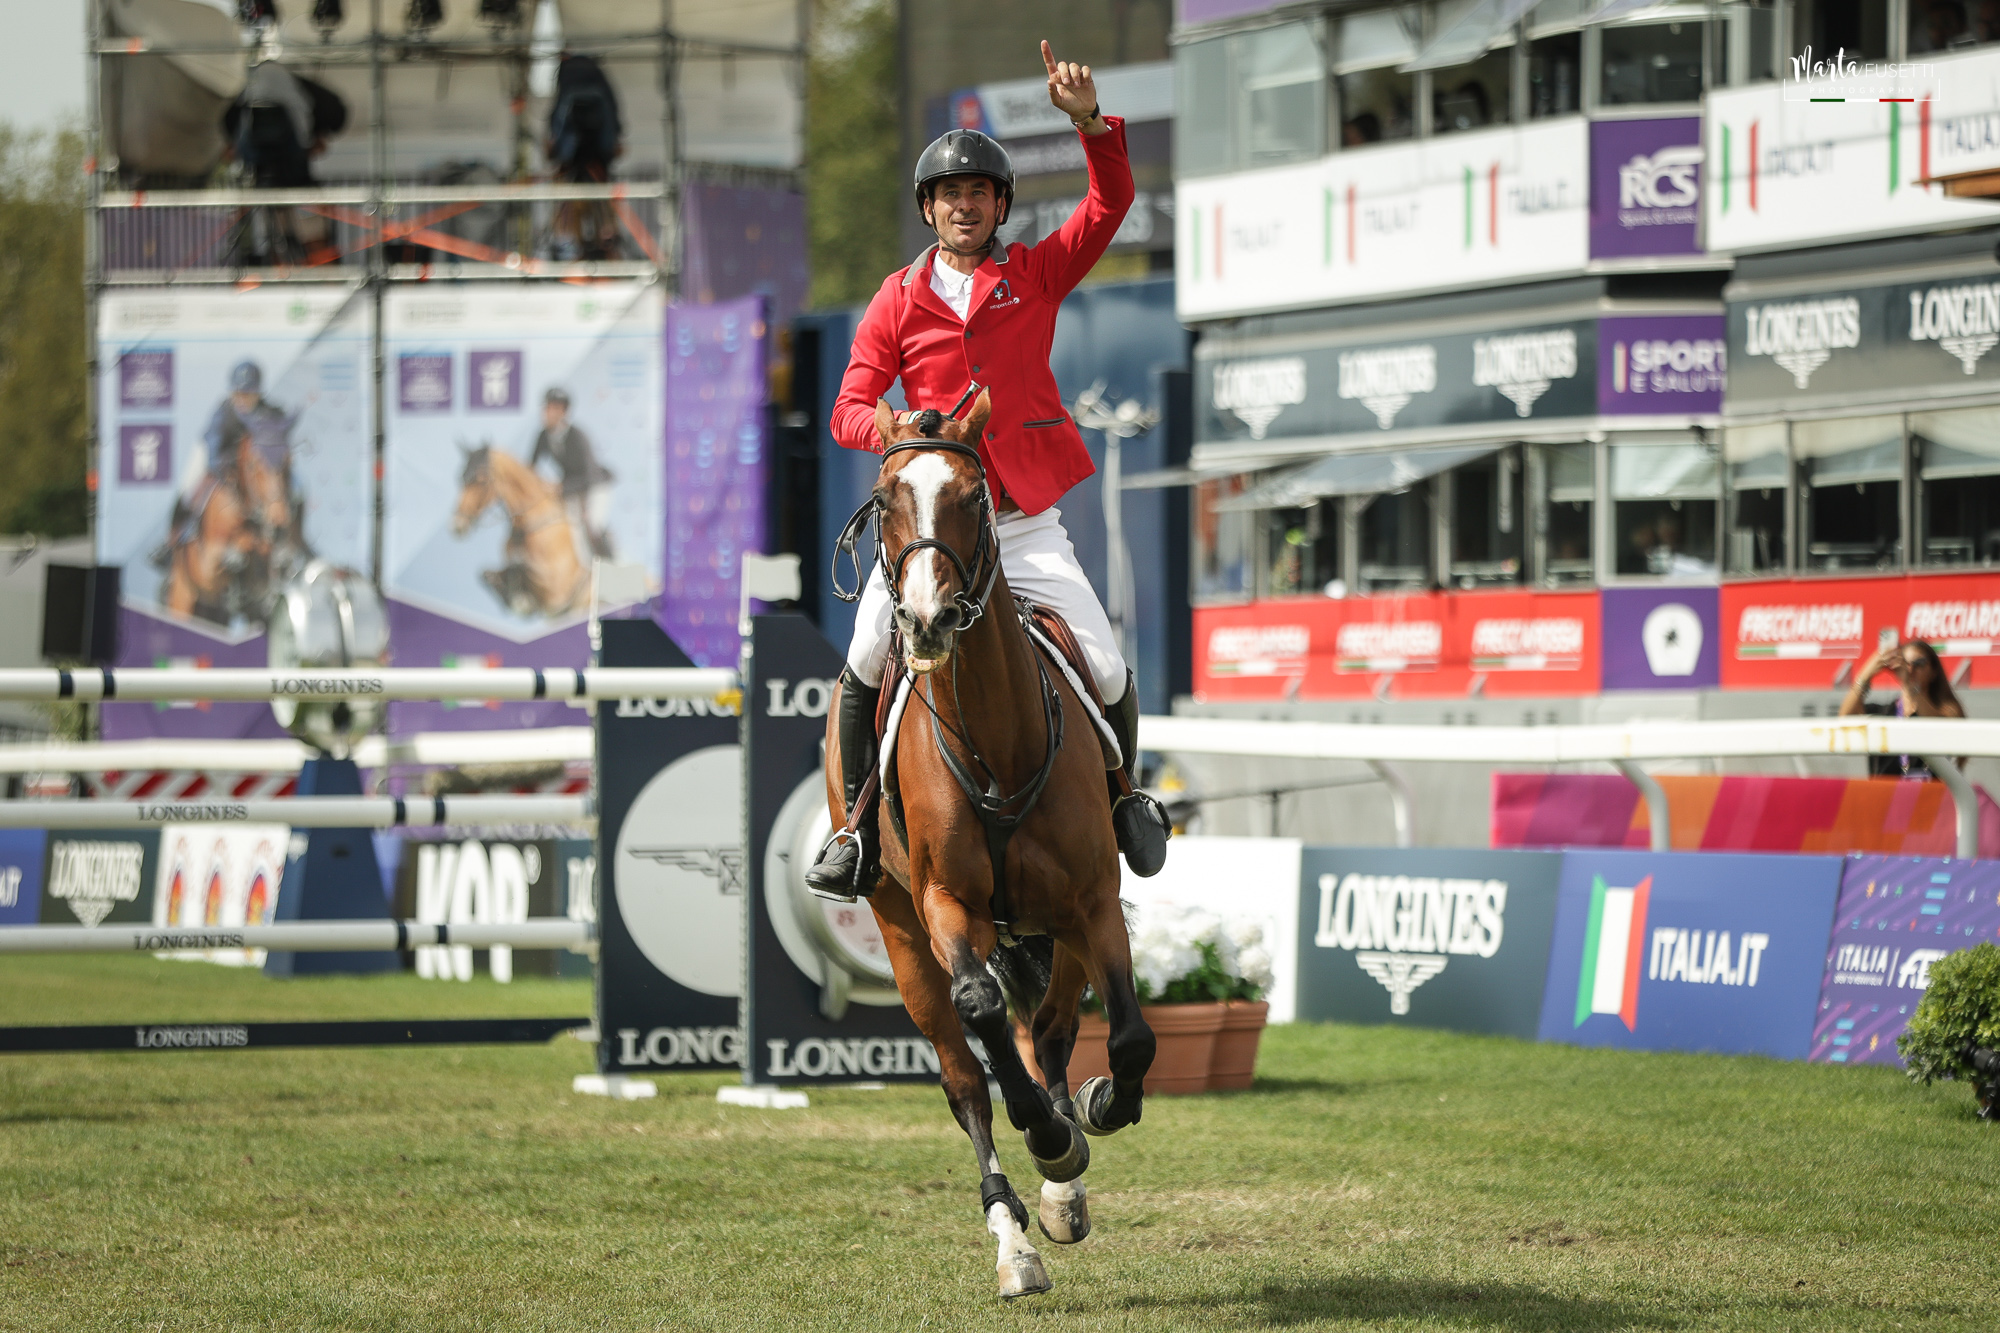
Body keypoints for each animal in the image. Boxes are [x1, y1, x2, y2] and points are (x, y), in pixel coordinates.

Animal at [448, 444, 584, 616]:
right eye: (461, 477)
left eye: (482, 480)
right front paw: (514, 598)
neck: (524, 529)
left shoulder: (556, 588)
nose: (457, 525)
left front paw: (520, 602)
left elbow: (520, 565)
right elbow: (486, 573)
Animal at [820, 392, 1160, 1296]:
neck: (998, 741)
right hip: (902, 931)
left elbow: (1128, 1036)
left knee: (1048, 1029)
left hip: (1056, 926)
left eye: (976, 499)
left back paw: (1063, 1182)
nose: (927, 620)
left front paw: (1095, 1113)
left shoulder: (1092, 902)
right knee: (966, 1074)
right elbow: (981, 1016)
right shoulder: (947, 905)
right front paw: (1047, 1135)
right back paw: (1015, 1235)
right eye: (884, 500)